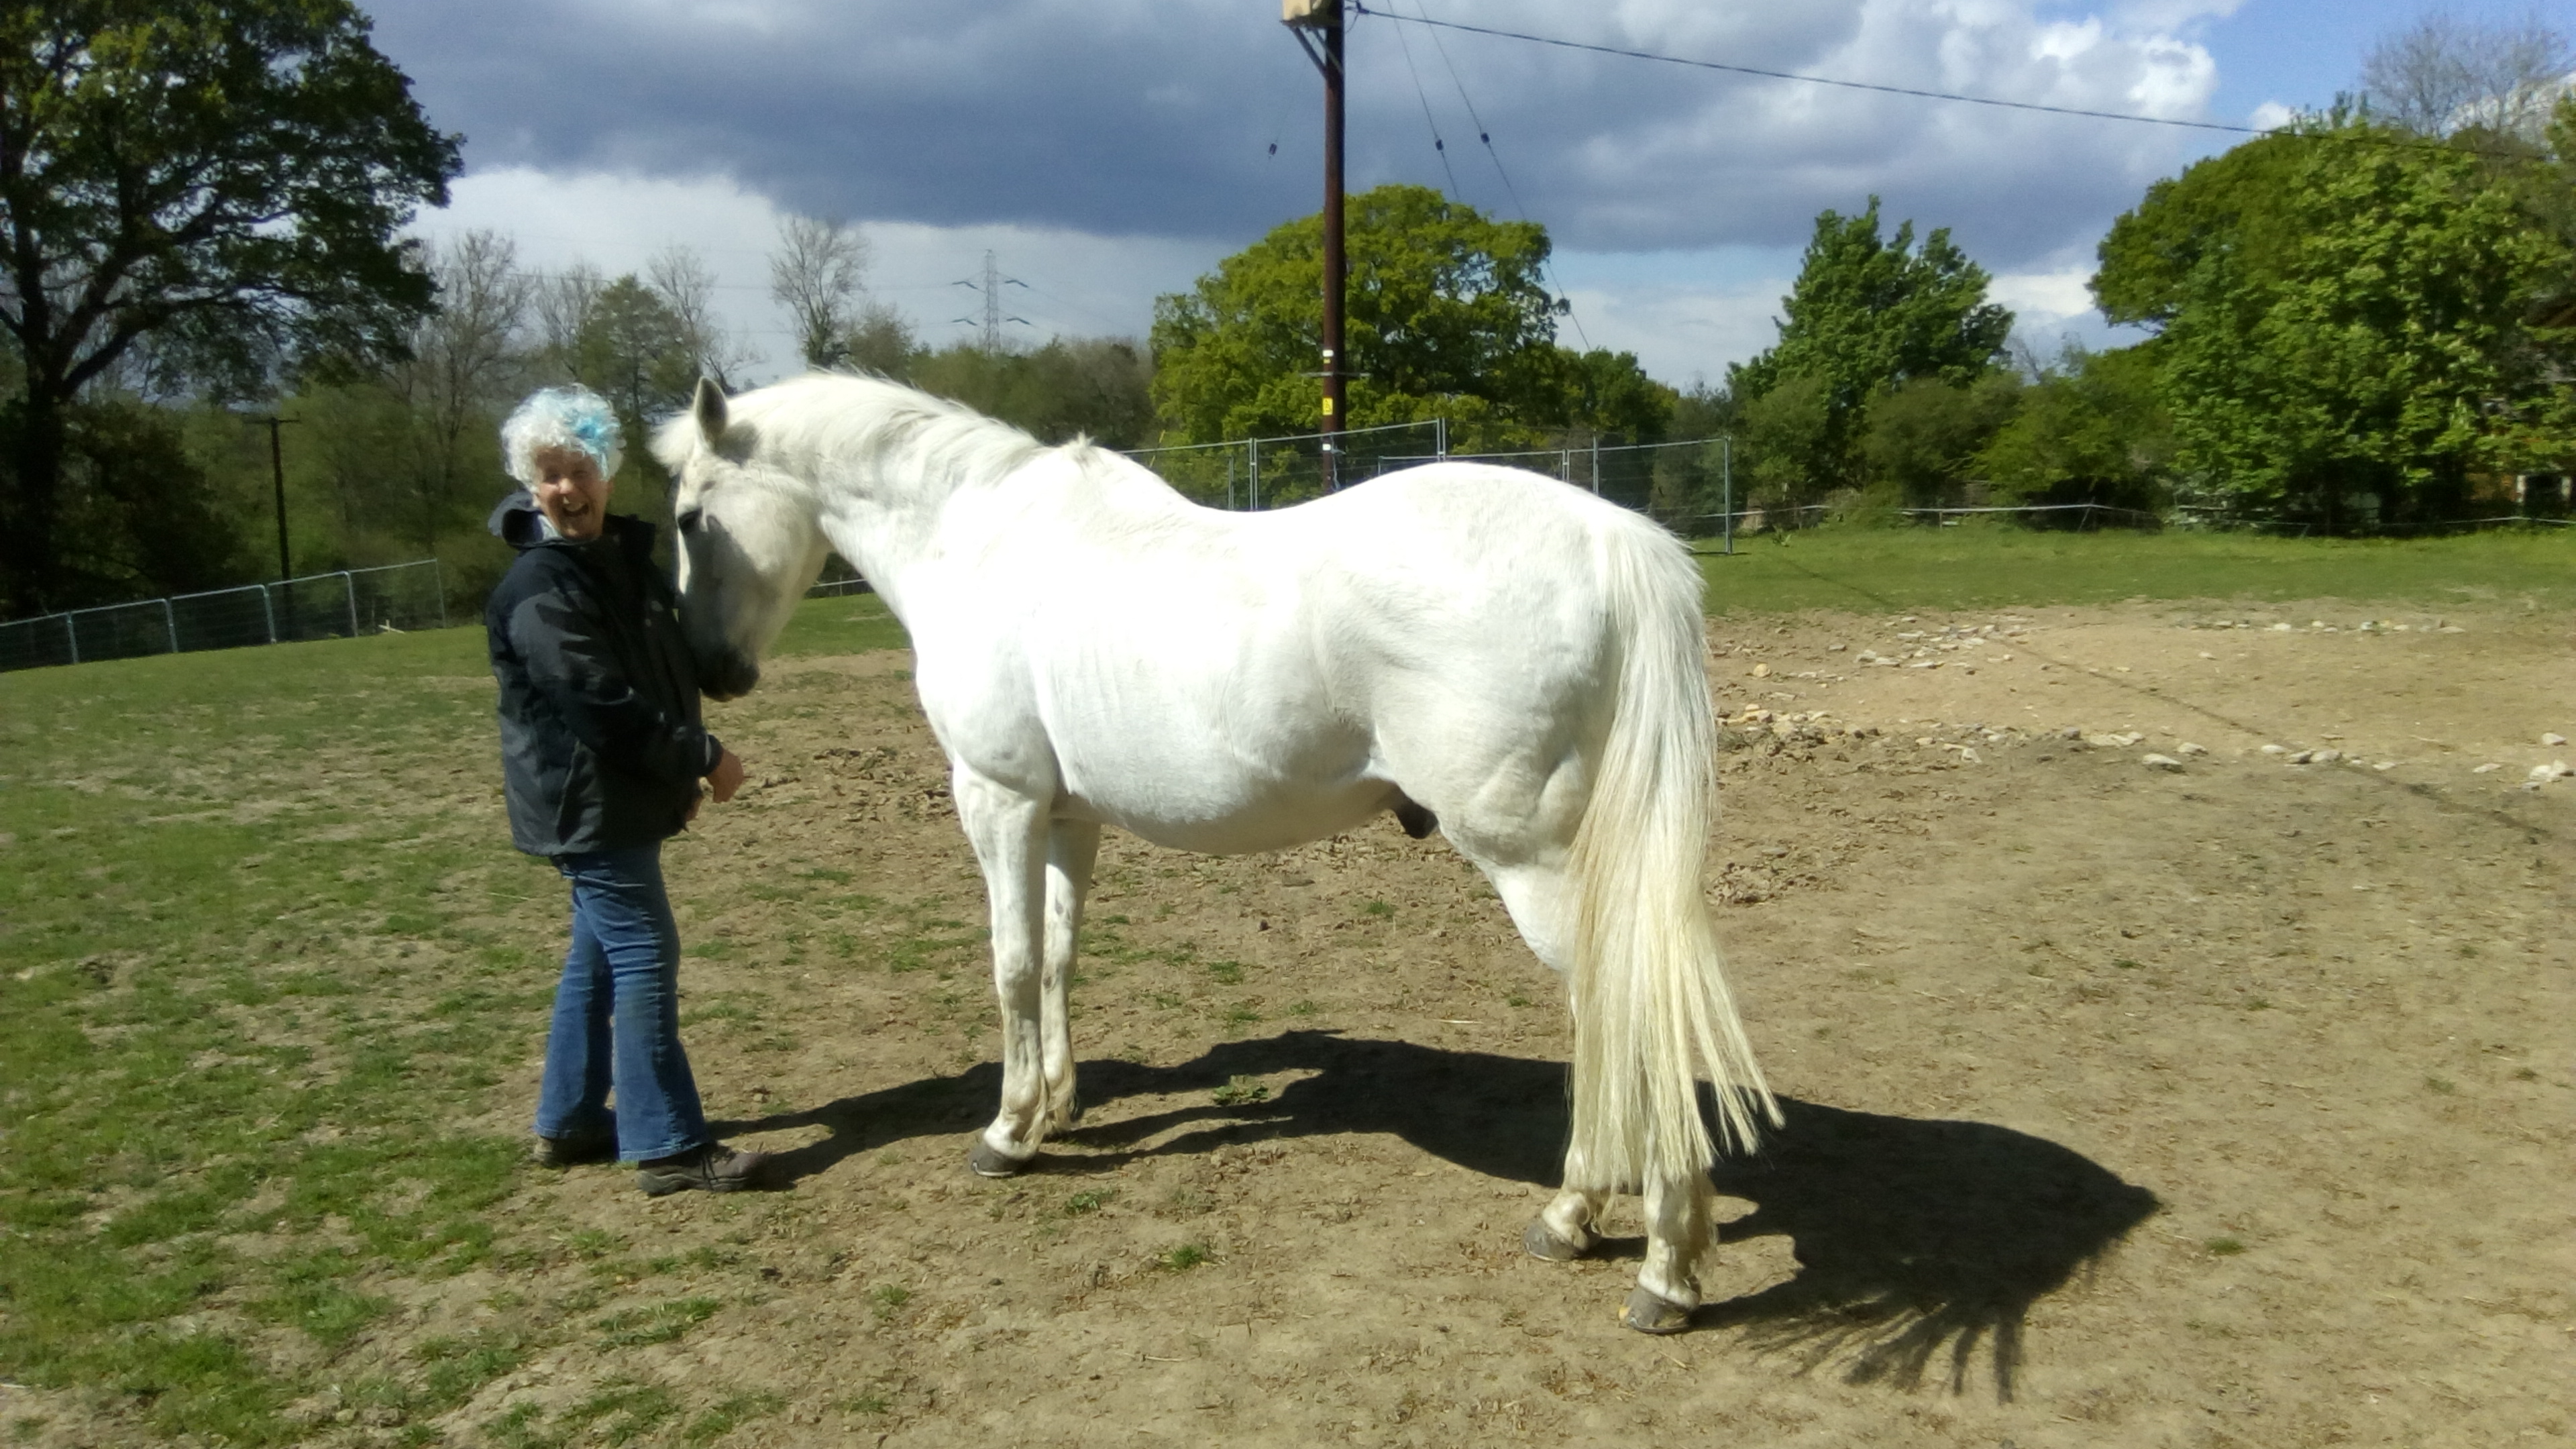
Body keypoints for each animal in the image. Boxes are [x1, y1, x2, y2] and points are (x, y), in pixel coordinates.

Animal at [655, 374, 1778, 1333]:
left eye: (687, 517)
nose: (710, 672)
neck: (972, 537)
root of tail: (1613, 541)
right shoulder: (1067, 819)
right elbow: (1059, 960)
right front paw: (1060, 1105)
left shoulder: (998, 801)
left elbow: (1011, 967)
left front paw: (1008, 1133)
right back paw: (1579, 1216)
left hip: (1535, 868)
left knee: (1633, 1011)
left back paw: (1659, 1268)